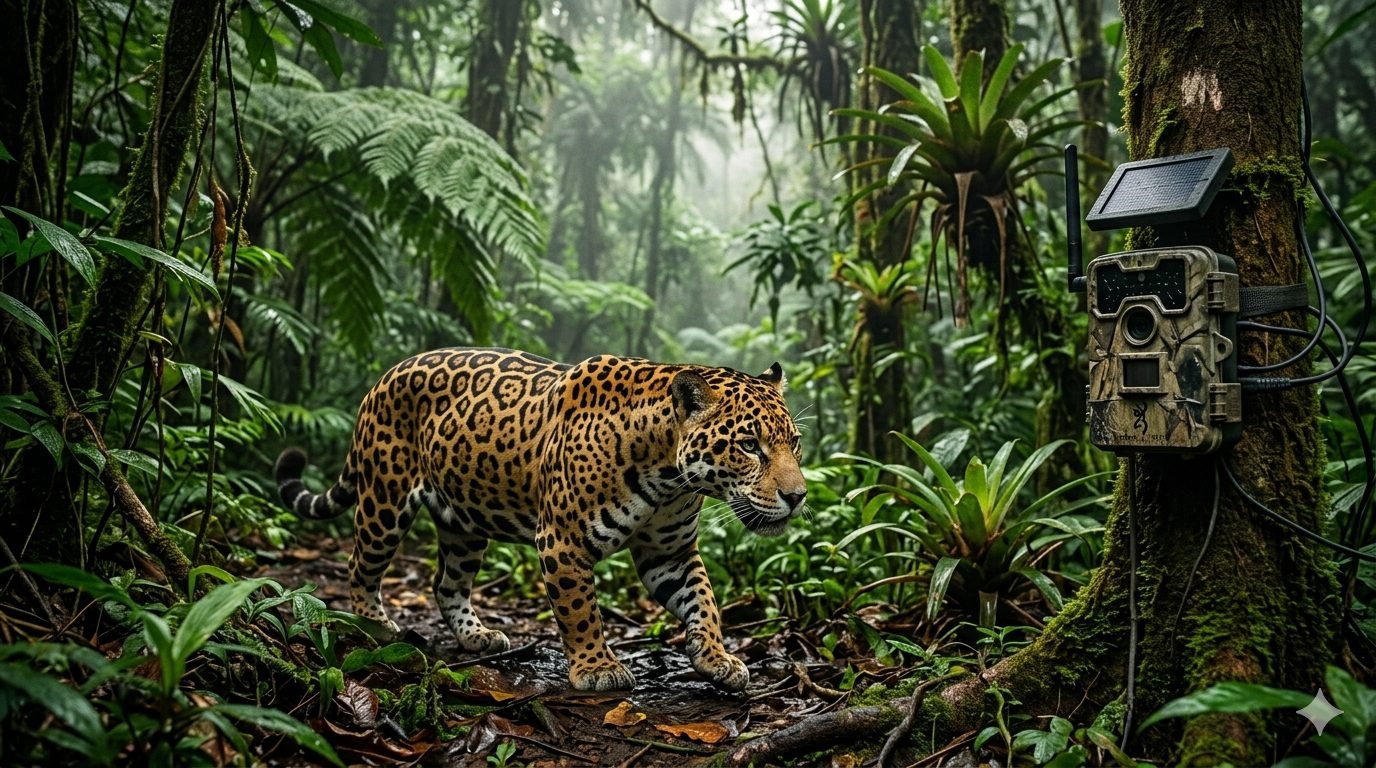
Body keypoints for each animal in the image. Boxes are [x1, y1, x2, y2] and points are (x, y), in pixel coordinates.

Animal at [275, 347, 806, 692]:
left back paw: (476, 636)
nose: (798, 496)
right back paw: (375, 626)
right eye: (749, 445)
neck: (668, 474)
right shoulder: (562, 542)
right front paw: (596, 668)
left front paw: (716, 658)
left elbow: (704, 602)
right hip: (384, 500)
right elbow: (580, 610)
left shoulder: (669, 552)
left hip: (464, 522)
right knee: (360, 567)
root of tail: (384, 376)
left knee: (446, 582)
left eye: (794, 442)